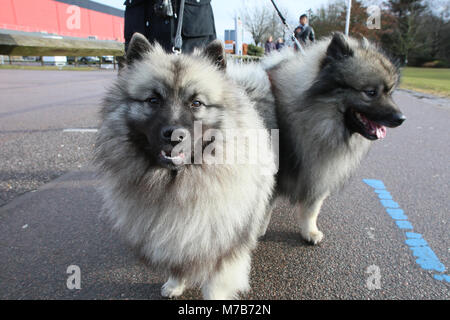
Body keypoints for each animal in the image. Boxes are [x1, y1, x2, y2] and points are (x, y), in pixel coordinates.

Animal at [93, 33, 276, 298]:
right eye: (153, 100)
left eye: (196, 103)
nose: (174, 135)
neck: (177, 183)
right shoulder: (175, 234)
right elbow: (177, 262)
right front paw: (175, 284)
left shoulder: (223, 247)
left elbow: (215, 285)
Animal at [262, 32, 406, 244]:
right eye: (370, 92)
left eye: (390, 92)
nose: (401, 118)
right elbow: (264, 207)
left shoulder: (320, 173)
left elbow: (311, 209)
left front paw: (310, 232)